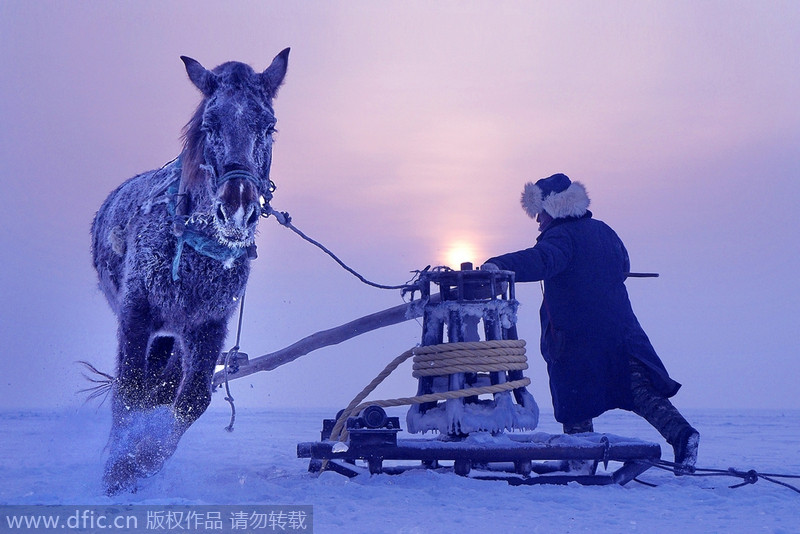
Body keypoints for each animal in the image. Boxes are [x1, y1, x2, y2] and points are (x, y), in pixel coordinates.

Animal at [91, 48, 290, 496]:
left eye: (269, 126)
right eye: (209, 124)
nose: (237, 209)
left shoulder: (209, 327)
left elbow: (190, 398)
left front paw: (143, 461)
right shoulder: (136, 315)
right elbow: (128, 390)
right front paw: (117, 471)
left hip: (175, 337)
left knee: (163, 387)